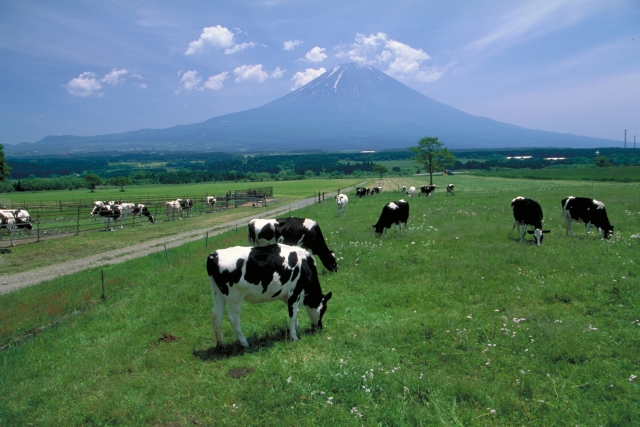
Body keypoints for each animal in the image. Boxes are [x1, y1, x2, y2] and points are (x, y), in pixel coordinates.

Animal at [206, 244, 336, 348]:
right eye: (323, 310)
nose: (319, 327)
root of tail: (214, 255)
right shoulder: (294, 292)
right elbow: (292, 315)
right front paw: (294, 337)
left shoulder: (286, 295)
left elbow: (295, 312)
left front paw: (297, 328)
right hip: (234, 297)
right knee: (233, 319)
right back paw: (245, 343)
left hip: (218, 294)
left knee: (216, 316)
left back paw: (220, 345)